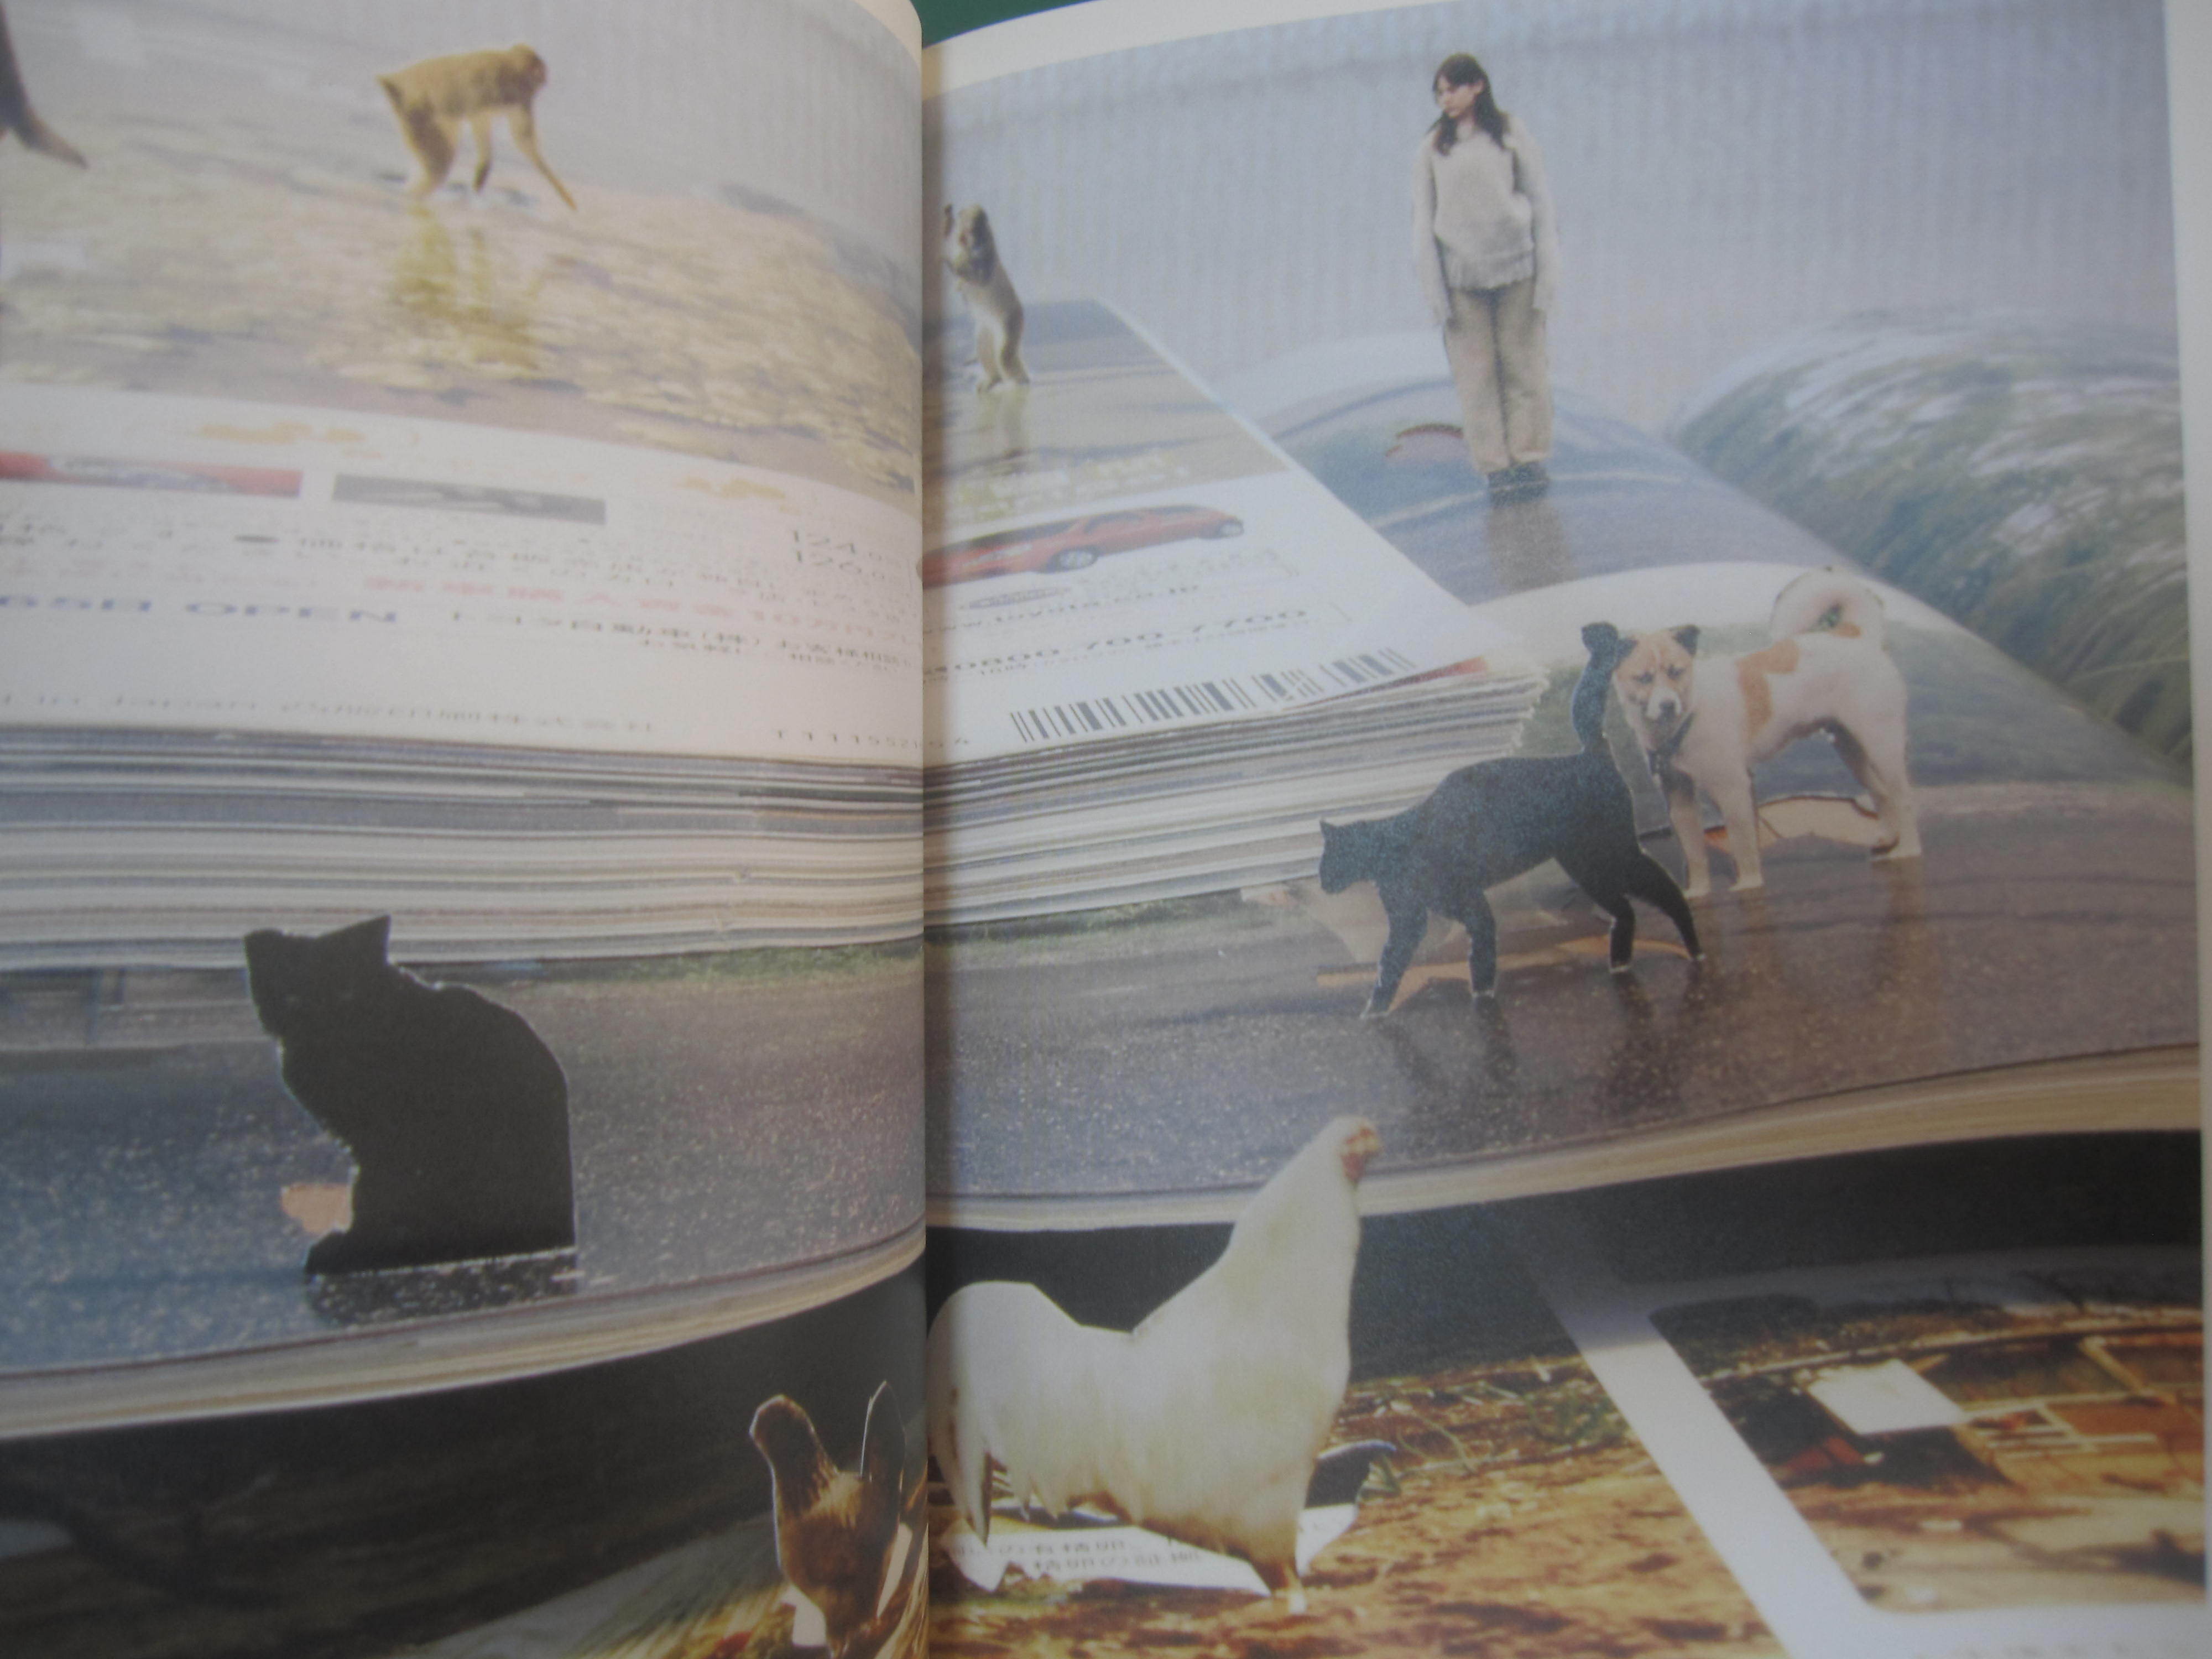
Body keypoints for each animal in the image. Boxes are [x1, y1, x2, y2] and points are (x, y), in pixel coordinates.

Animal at [942, 204, 1027, 392]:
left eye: (978, 229)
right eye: (969, 230)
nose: (974, 239)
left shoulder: (987, 254)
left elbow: (981, 279)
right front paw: (947, 227)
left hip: (1012, 321)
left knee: (1004, 355)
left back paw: (1018, 381)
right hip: (987, 330)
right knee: (985, 347)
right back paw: (993, 377)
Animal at [1318, 623, 1700, 1014]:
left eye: (1329, 860)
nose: (1321, 881)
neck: (1394, 850)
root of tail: (1590, 752)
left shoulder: (1471, 907)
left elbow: (1480, 956)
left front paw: (1483, 999)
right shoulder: (1407, 924)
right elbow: (1389, 968)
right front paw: (1373, 1013)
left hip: (1610, 855)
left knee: (1664, 891)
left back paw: (1689, 948)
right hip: (1588, 865)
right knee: (1630, 908)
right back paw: (1625, 961)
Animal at [1606, 569, 1919, 899]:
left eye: (1676, 672)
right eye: (1644, 678)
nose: (1668, 705)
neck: (1689, 713)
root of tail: (1856, 634)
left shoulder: (1733, 789)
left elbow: (1743, 845)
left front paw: (1748, 885)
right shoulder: (1679, 797)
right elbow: (1695, 854)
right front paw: (1699, 892)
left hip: (1882, 746)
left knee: (1903, 798)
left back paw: (1908, 850)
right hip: (1851, 750)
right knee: (1882, 794)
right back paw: (1887, 839)